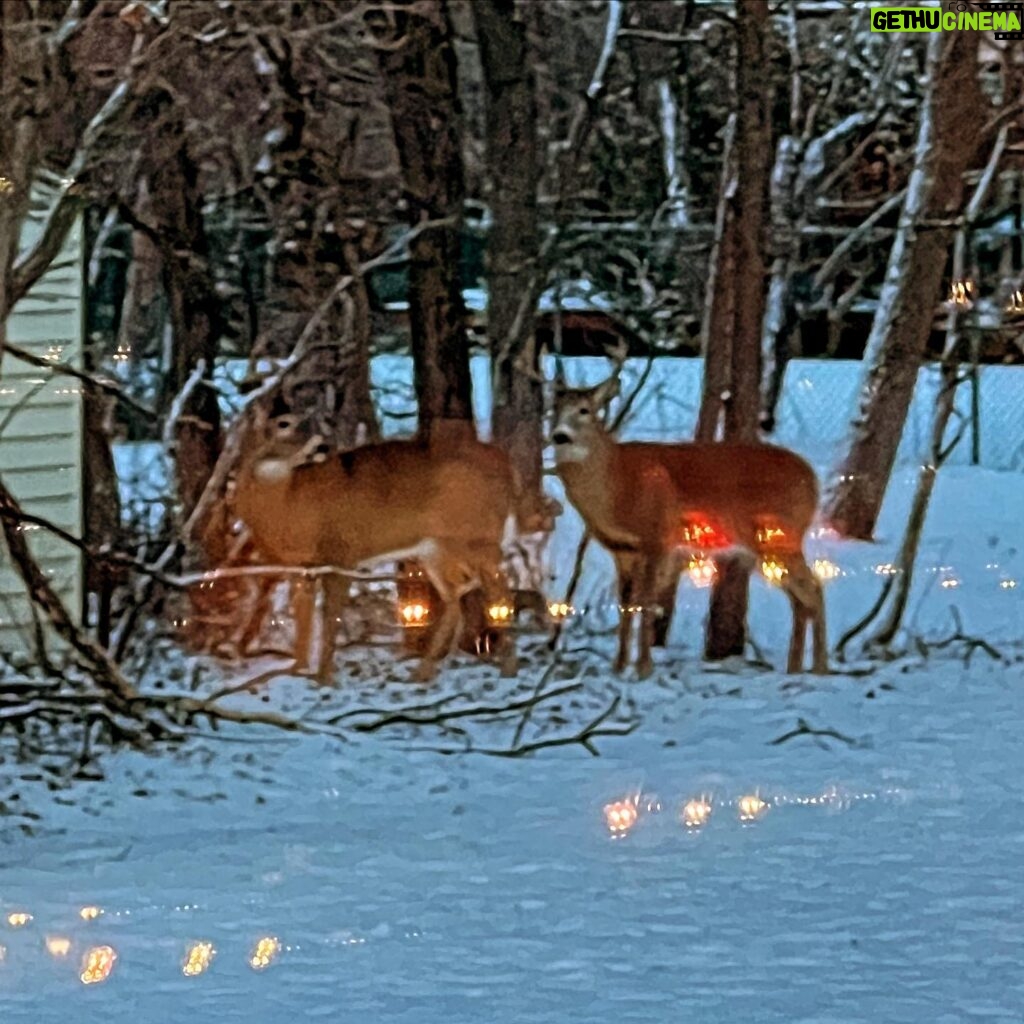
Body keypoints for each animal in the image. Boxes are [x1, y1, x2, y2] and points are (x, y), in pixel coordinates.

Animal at [232, 405, 520, 679]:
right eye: (283, 423)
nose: (322, 444)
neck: (290, 506)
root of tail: (506, 464)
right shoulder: (302, 566)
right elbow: (304, 617)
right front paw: (298, 671)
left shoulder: (342, 552)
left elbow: (330, 617)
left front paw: (324, 677)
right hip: (437, 551)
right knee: (455, 599)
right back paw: (424, 673)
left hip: (477, 536)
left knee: (500, 589)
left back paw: (508, 667)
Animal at [548, 352, 827, 679]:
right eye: (554, 409)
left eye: (584, 410)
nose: (560, 435)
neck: (617, 484)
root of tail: (813, 479)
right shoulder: (623, 549)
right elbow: (626, 602)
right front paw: (618, 666)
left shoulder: (657, 537)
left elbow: (646, 602)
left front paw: (643, 667)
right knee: (800, 598)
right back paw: (796, 668)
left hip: (780, 534)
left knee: (813, 589)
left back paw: (821, 668)